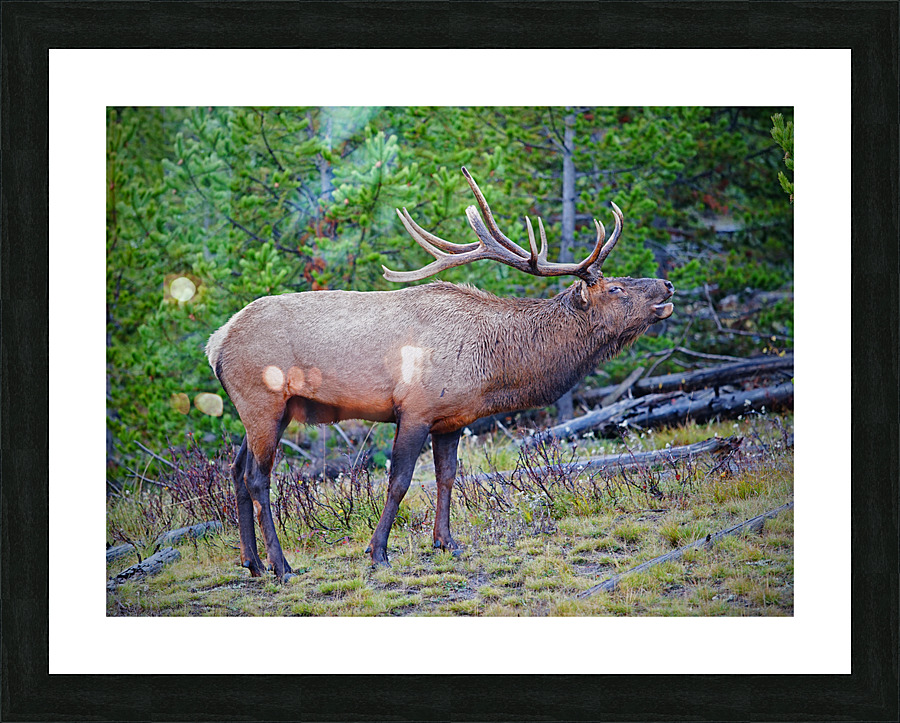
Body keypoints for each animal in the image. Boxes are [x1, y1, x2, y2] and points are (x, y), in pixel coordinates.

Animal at [206, 167, 674, 580]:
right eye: (615, 288)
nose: (667, 285)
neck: (494, 368)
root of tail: (216, 343)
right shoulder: (415, 409)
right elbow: (399, 482)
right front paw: (378, 552)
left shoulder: (452, 418)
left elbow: (446, 477)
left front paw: (447, 542)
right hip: (264, 402)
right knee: (257, 478)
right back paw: (281, 566)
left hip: (268, 411)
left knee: (235, 470)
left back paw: (252, 562)